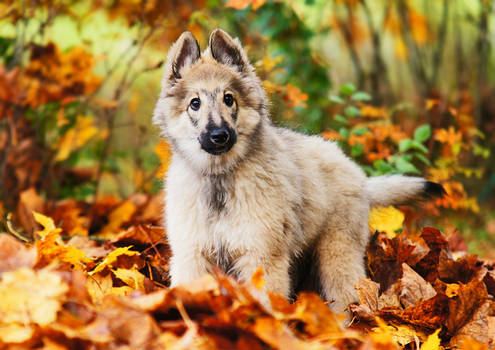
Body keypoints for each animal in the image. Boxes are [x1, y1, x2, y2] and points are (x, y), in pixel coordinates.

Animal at [152, 29, 446, 314]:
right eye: (195, 103)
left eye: (228, 99)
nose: (219, 136)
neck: (220, 179)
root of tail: (360, 177)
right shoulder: (192, 255)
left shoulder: (262, 257)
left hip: (336, 255)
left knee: (347, 296)